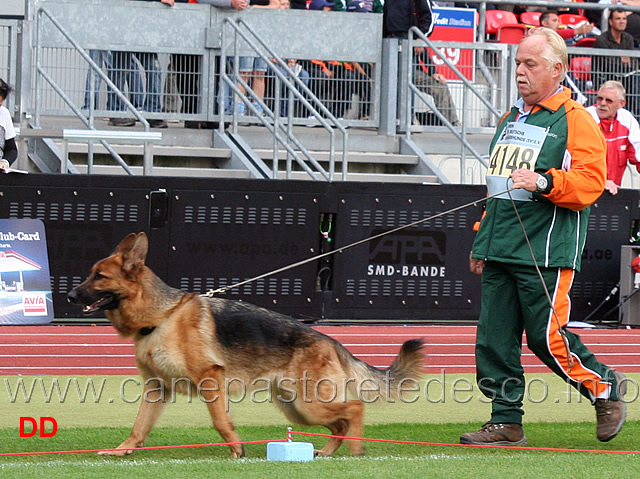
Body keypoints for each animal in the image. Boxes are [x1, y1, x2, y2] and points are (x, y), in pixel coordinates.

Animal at [67, 234, 424, 460]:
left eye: (99, 277)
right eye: (90, 274)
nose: (70, 295)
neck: (161, 316)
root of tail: (331, 341)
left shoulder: (210, 379)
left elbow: (220, 422)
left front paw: (237, 450)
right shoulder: (157, 389)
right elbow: (139, 426)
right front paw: (123, 449)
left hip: (308, 404)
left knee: (355, 409)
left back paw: (356, 448)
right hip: (298, 408)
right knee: (339, 422)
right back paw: (326, 451)